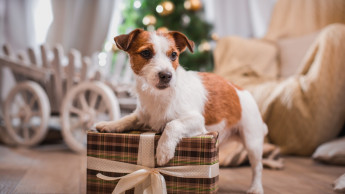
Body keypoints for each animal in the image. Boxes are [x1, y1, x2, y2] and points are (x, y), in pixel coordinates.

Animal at [95, 28, 268, 194]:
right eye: (146, 53)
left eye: (173, 55)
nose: (166, 75)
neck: (159, 96)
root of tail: (240, 89)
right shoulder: (143, 116)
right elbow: (128, 119)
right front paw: (110, 125)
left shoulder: (197, 121)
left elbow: (172, 124)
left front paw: (164, 150)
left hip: (252, 141)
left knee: (257, 167)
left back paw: (256, 187)